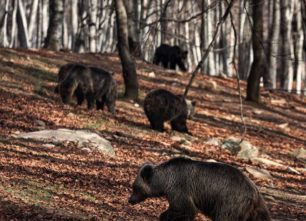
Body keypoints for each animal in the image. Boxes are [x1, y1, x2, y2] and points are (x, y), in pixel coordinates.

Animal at [128, 157, 272, 221]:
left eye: (135, 187)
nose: (130, 200)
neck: (164, 180)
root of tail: (254, 191)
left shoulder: (179, 189)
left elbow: (186, 209)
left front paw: (164, 216)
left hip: (229, 201)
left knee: (224, 217)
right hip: (253, 209)